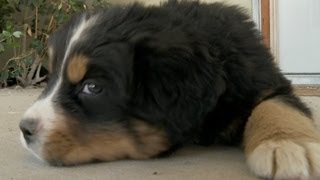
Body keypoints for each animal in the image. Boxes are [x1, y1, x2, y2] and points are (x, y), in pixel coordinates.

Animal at [18, 0, 320, 179]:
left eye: (92, 87)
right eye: (50, 76)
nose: (25, 129)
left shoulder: (263, 79)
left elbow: (276, 105)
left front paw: (288, 145)